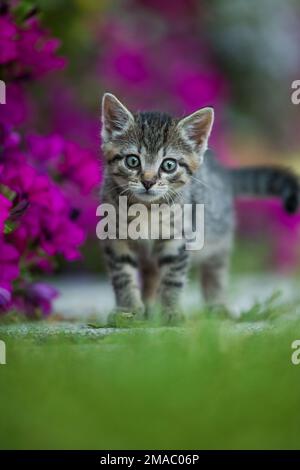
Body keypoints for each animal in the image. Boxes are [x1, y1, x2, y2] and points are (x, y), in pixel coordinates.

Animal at [99, 93, 298, 322]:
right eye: (132, 161)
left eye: (169, 165)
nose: (148, 182)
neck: (146, 209)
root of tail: (222, 172)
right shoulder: (115, 236)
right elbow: (122, 274)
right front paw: (128, 310)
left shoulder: (178, 237)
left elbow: (172, 277)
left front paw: (170, 311)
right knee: (151, 273)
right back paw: (149, 308)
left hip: (218, 236)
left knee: (216, 270)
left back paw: (217, 305)